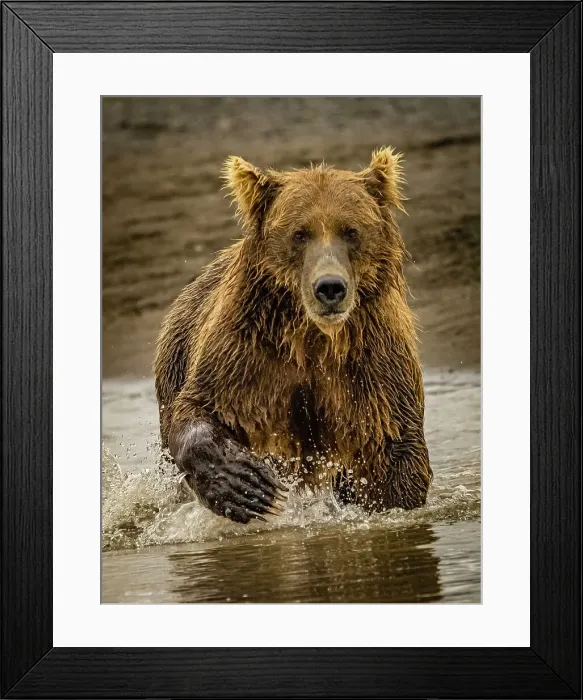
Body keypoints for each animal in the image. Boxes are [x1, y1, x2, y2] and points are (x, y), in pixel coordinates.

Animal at [154, 147, 432, 524]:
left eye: (351, 231)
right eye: (300, 233)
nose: (330, 288)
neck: (315, 338)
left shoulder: (374, 364)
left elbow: (394, 447)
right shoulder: (246, 352)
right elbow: (198, 408)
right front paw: (247, 486)